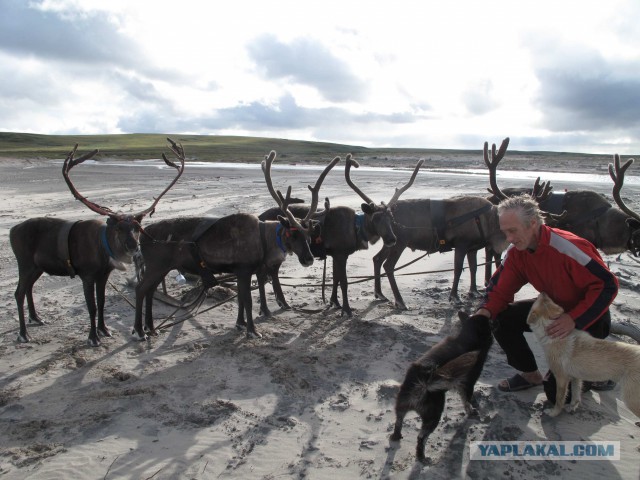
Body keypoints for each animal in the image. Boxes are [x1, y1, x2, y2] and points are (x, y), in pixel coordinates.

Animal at [390, 312, 490, 462]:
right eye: (490, 323)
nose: (497, 322)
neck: (468, 335)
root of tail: (423, 384)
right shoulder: (468, 384)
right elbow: (467, 400)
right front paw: (472, 410)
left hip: (401, 406)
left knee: (398, 421)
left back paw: (396, 436)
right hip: (434, 416)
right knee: (421, 438)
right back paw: (422, 457)